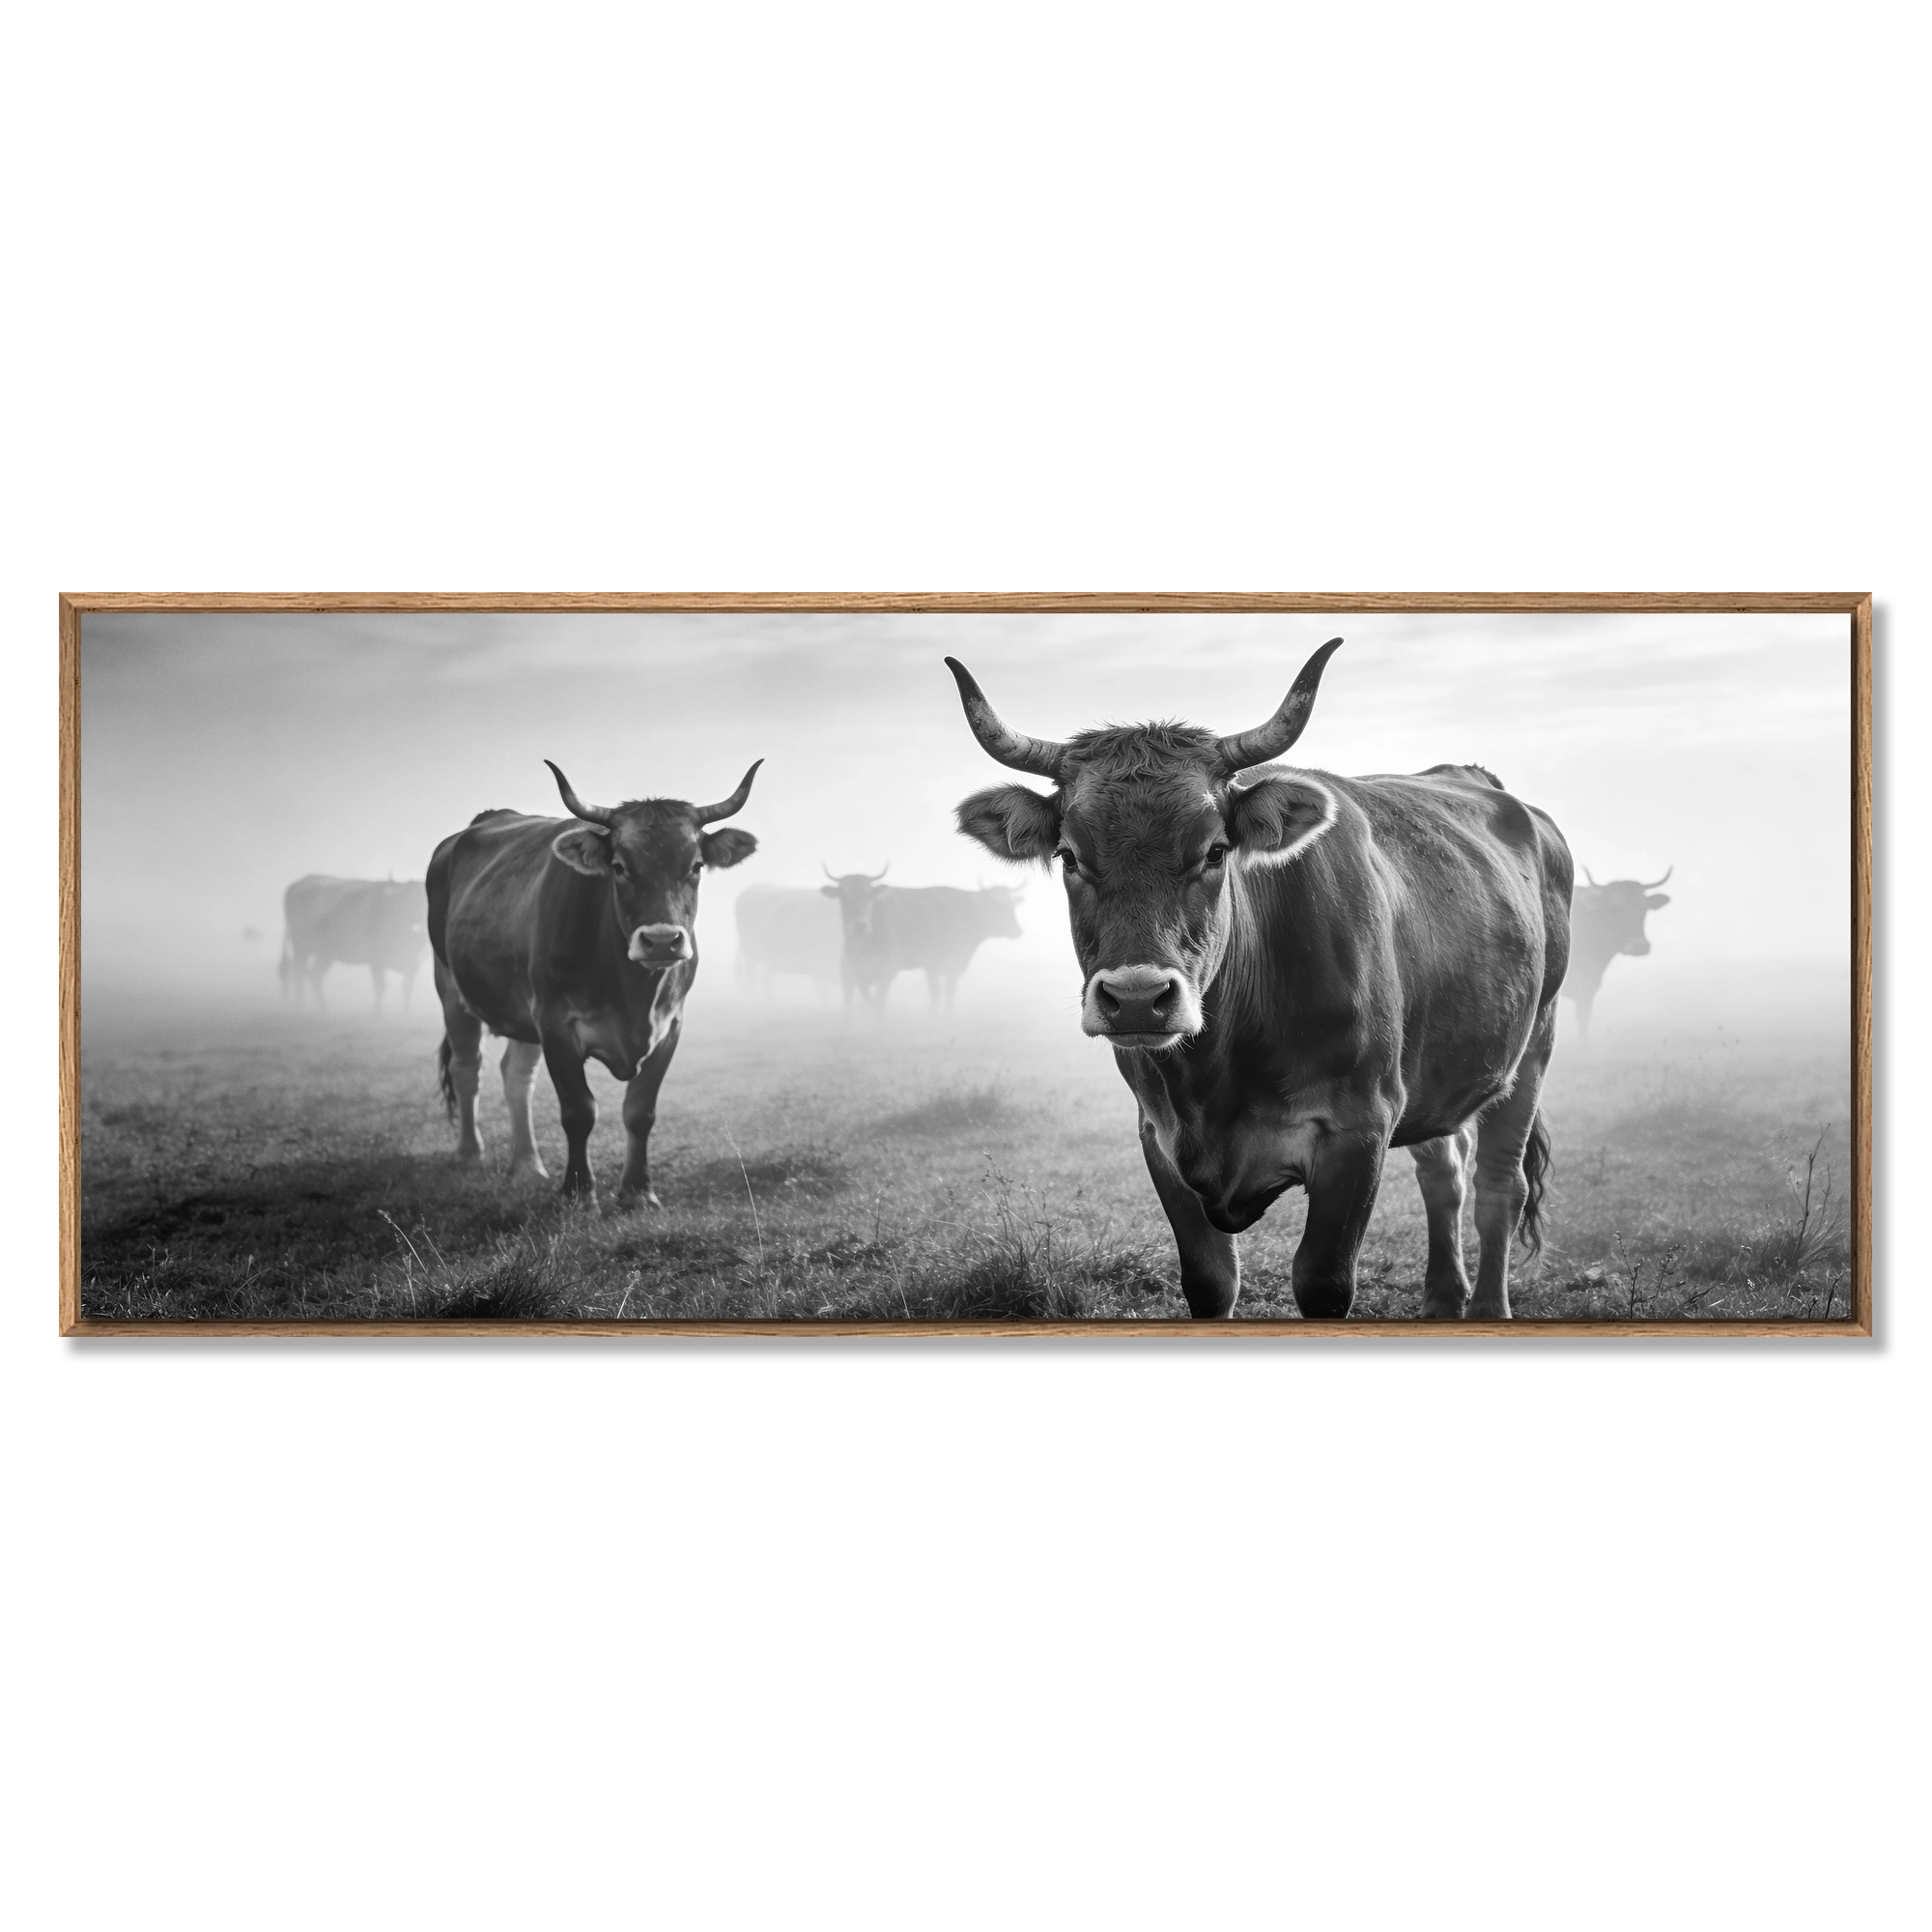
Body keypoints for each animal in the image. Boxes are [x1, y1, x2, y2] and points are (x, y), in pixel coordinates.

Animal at [279, 876, 428, 1012]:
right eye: (407, 899)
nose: (419, 922)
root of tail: (298, 883)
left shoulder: (415, 963)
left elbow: (407, 988)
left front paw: (406, 1012)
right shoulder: (376, 959)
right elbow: (380, 986)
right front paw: (377, 1013)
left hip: (325, 953)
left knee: (314, 974)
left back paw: (323, 1007)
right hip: (301, 947)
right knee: (299, 974)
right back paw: (301, 1006)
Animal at [427, 757, 761, 1204]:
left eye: (696, 866)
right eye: (618, 866)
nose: (661, 940)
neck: (633, 994)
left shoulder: (669, 1028)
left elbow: (640, 1112)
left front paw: (638, 1191)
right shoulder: (557, 1026)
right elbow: (579, 1111)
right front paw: (578, 1190)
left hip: (521, 1010)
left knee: (517, 1077)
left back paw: (528, 1165)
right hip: (450, 988)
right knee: (468, 1068)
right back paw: (469, 1153)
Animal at [847, 885, 1025, 1012]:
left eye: (1012, 905)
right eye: (998, 906)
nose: (1018, 930)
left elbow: (944, 991)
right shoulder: (936, 965)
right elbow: (940, 990)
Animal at [947, 639, 1573, 1320]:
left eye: (1216, 850)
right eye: (1069, 856)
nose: (1137, 999)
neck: (1218, 1073)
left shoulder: (1359, 1131)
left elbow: (1323, 1282)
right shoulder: (1160, 1139)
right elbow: (1211, 1281)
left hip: (1532, 1049)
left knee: (1498, 1187)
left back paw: (1487, 1305)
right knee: (1445, 1176)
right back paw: (1441, 1299)